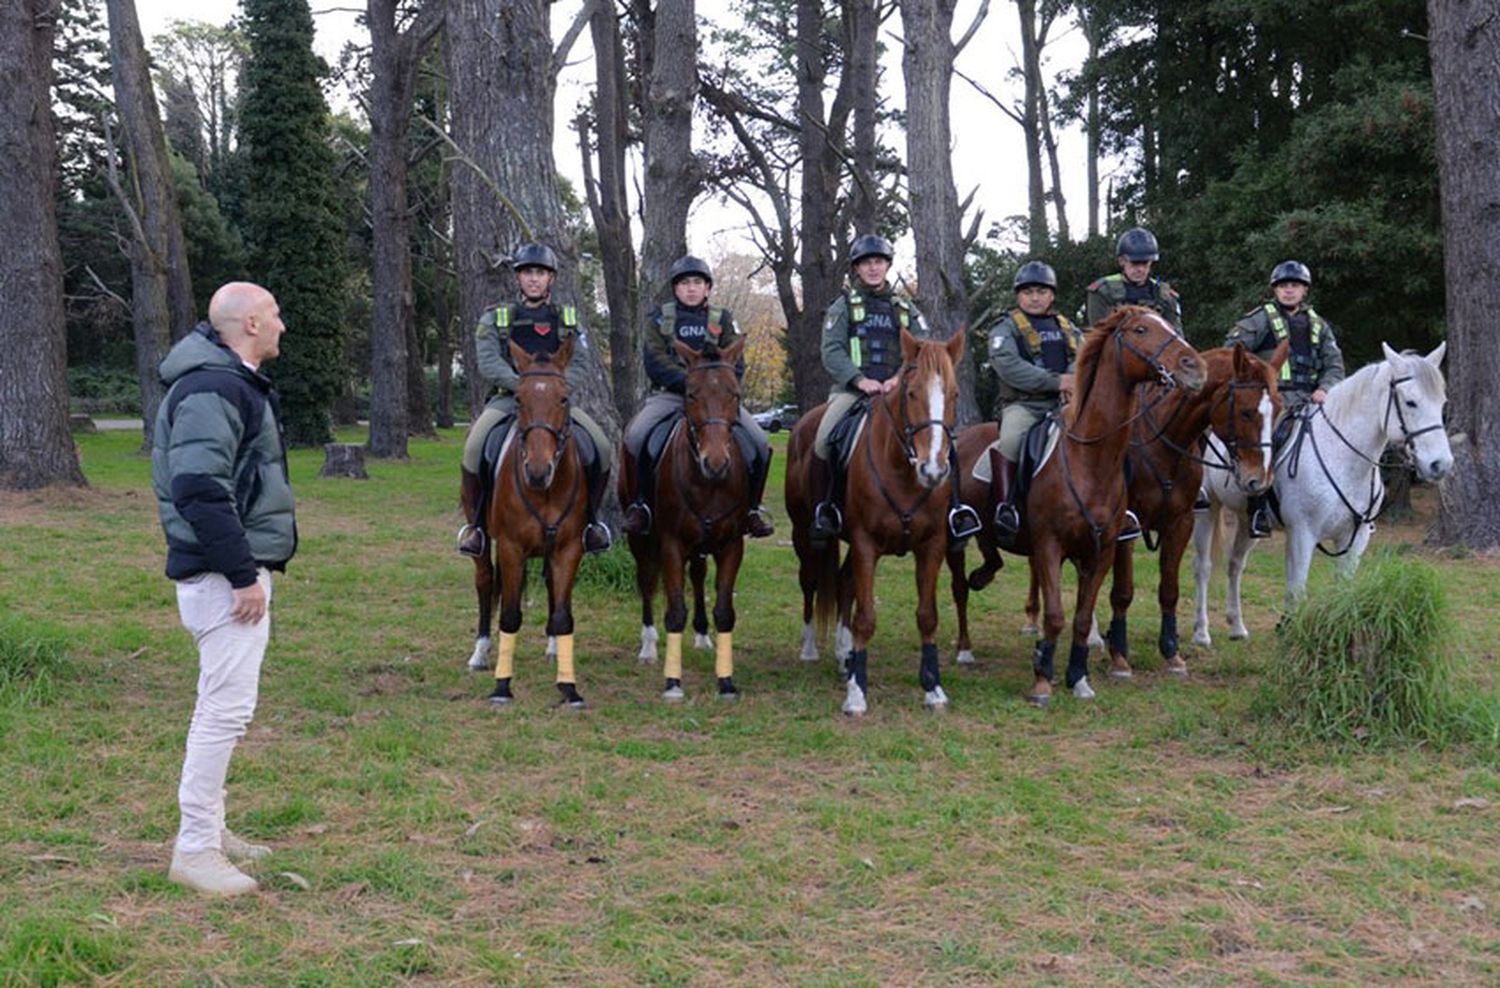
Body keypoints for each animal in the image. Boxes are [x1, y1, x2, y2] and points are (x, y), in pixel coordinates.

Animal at [462, 340, 591, 710]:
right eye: (519, 398)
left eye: (564, 397)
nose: (537, 470)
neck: (545, 491)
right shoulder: (510, 548)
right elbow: (509, 615)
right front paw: (502, 686)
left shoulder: (568, 549)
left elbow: (563, 615)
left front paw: (569, 687)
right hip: (482, 539)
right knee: (485, 583)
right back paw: (480, 652)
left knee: (548, 588)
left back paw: (552, 648)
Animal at [624, 338, 756, 704]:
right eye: (691, 393)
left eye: (734, 393)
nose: (716, 462)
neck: (708, 483)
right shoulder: (671, 544)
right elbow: (674, 612)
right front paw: (673, 683)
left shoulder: (731, 545)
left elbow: (724, 612)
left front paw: (726, 681)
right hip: (641, 539)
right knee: (647, 581)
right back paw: (648, 646)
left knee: (697, 576)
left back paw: (701, 636)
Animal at [786, 328, 960, 713]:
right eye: (911, 393)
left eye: (954, 394)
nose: (933, 470)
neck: (903, 470)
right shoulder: (866, 543)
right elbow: (865, 618)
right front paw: (857, 693)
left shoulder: (932, 546)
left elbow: (927, 616)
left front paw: (933, 688)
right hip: (805, 535)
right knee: (810, 582)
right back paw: (809, 648)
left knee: (843, 582)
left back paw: (844, 656)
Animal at [948, 307, 1206, 704]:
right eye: (1141, 329)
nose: (1194, 366)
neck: (1090, 459)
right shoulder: (1050, 546)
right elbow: (1056, 615)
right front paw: (1042, 680)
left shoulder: (1100, 551)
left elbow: (1083, 617)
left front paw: (1077, 677)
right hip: (956, 540)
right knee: (960, 589)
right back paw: (964, 648)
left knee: (991, 558)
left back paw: (983, 576)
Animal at [1188, 341, 1446, 650]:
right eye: (1410, 402)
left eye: (1442, 403)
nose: (1441, 464)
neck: (1341, 457)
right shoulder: (1303, 535)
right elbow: (1297, 590)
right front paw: (1292, 635)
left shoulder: (1354, 539)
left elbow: (1342, 590)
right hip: (1207, 510)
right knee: (1203, 567)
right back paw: (1201, 632)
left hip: (1248, 522)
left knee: (1235, 565)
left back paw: (1237, 627)